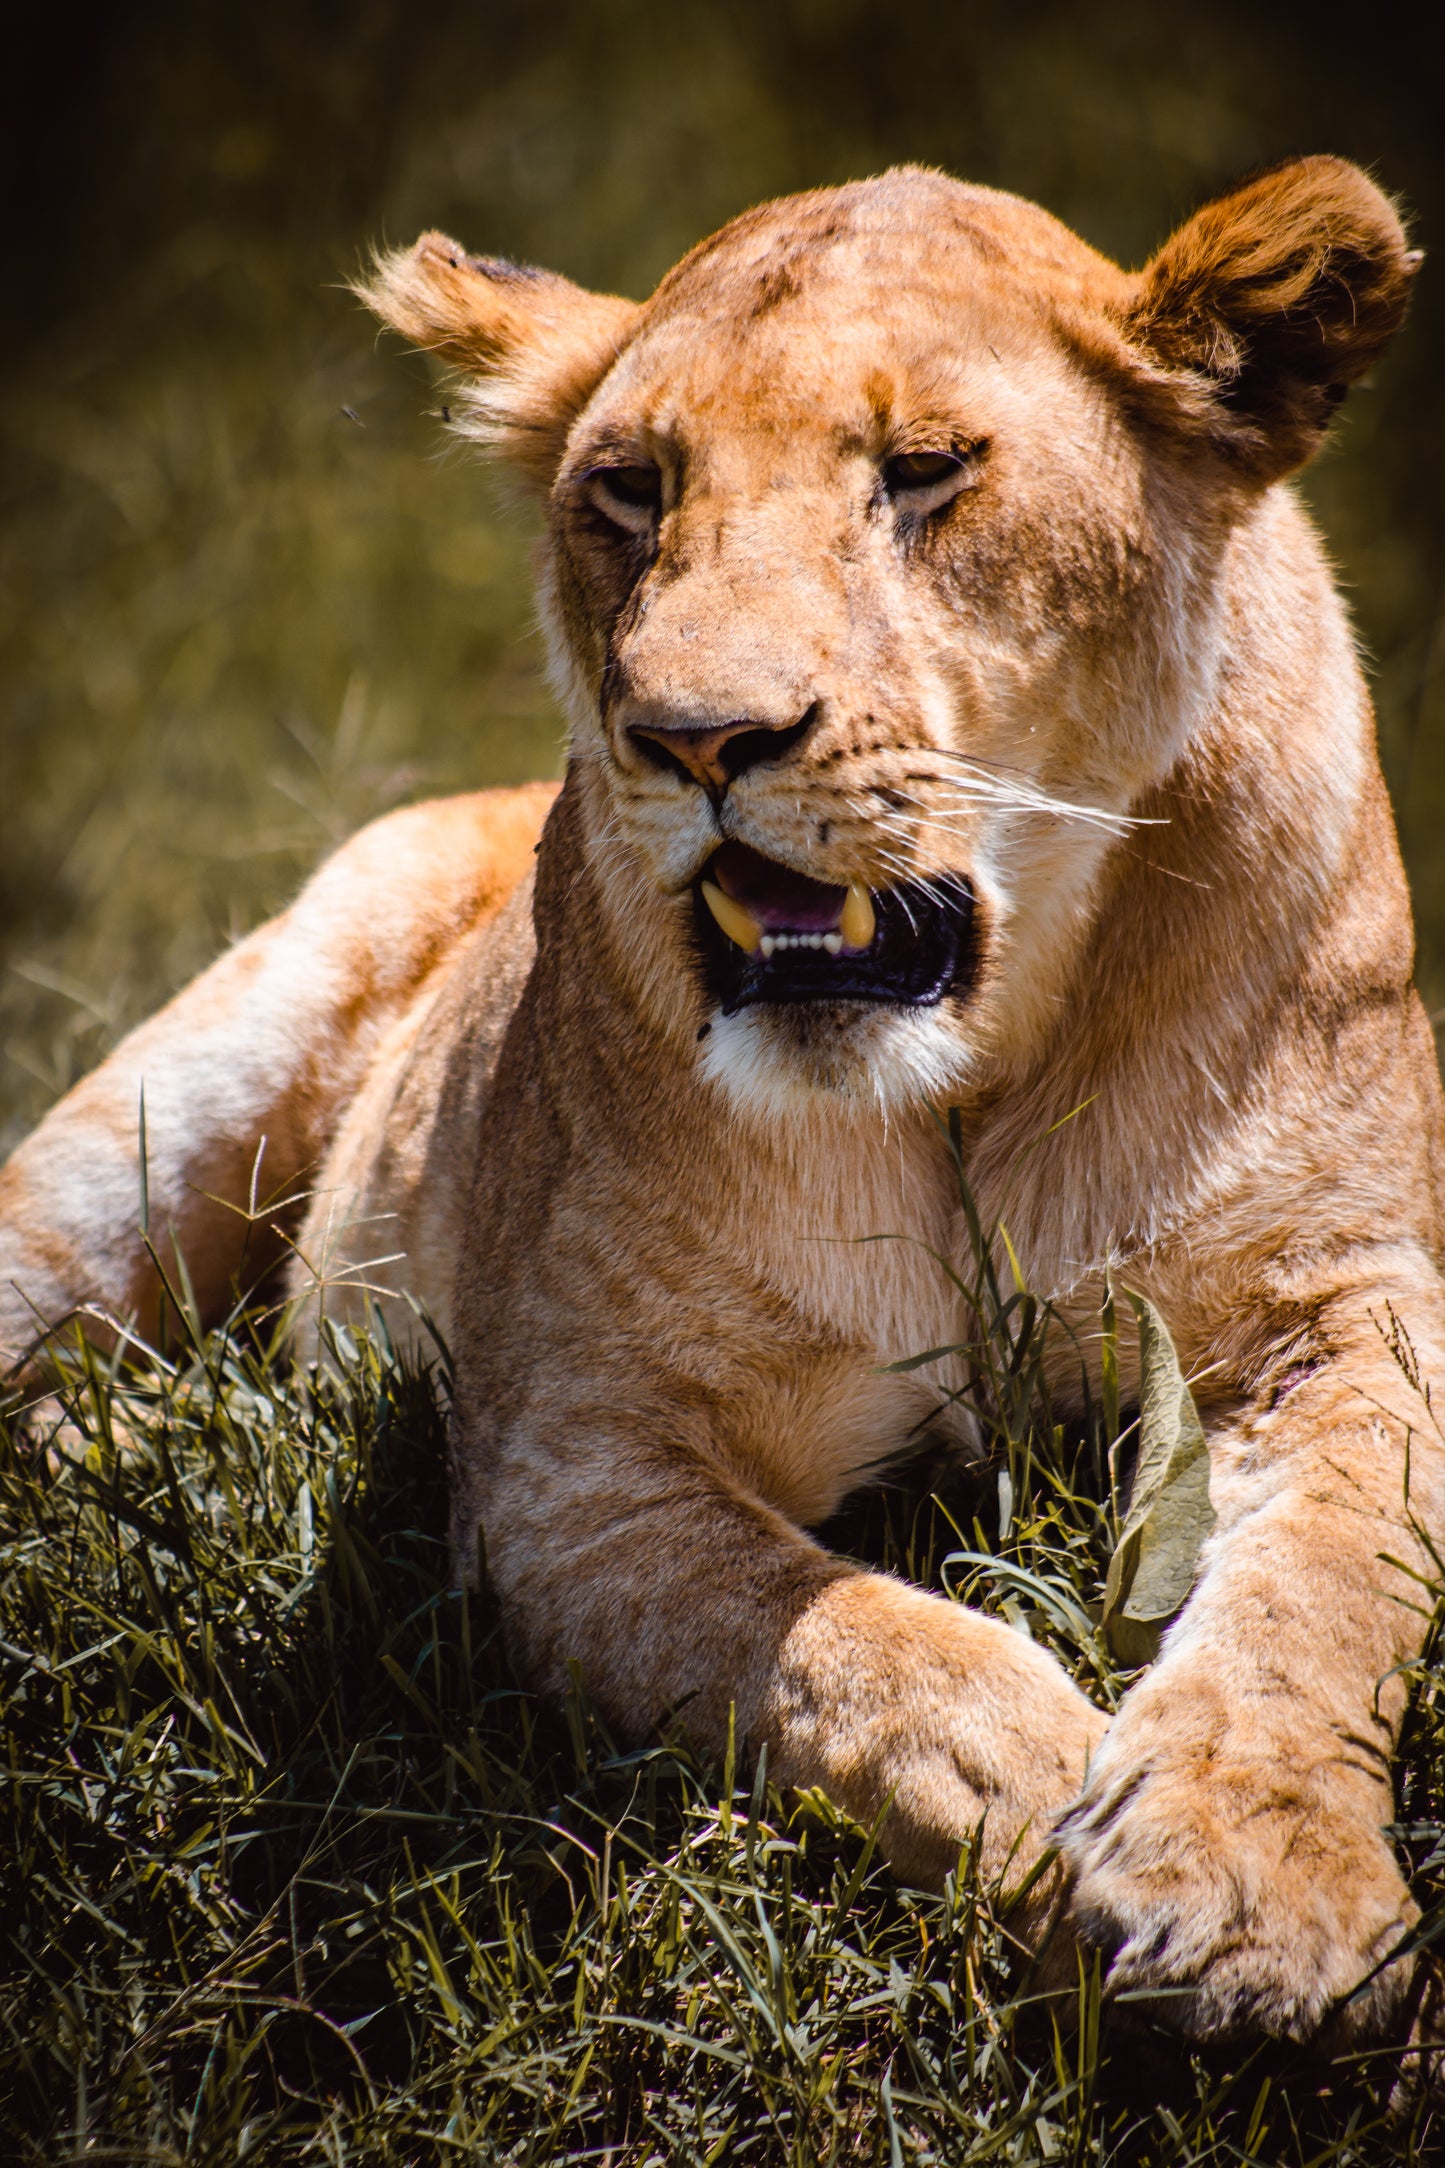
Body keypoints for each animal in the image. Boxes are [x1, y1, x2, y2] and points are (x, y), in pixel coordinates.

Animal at [2, 156, 1441, 2053]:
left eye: (925, 471)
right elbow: (860, 1640)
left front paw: (1256, 1875)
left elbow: (1326, 1580)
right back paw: (145, 1435)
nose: (690, 739)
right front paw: (1057, 1821)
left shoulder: (1341, 1300)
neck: (964, 1089)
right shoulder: (571, 1462)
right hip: (160, 1113)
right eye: (628, 490)